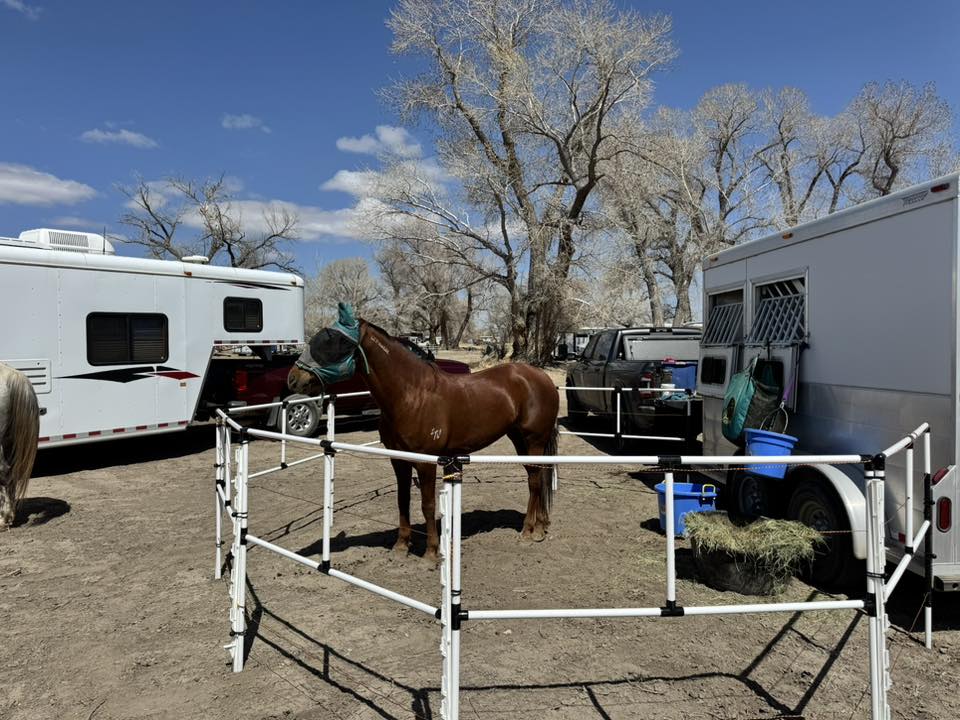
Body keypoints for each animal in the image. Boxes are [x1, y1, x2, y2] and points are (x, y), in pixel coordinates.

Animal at [287, 303, 559, 560]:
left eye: (337, 341)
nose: (293, 379)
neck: (411, 394)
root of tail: (542, 378)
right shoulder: (399, 460)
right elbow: (403, 500)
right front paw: (401, 546)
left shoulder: (426, 462)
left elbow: (427, 504)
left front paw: (431, 552)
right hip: (519, 439)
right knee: (537, 476)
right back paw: (541, 526)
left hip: (534, 440)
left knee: (535, 480)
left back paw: (529, 531)